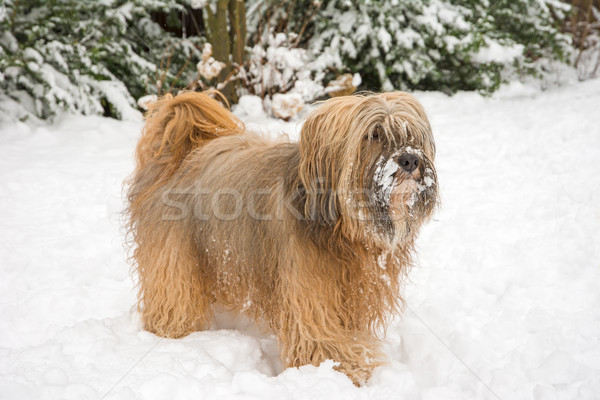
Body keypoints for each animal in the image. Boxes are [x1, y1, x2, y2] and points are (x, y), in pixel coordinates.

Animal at [125, 90, 436, 384]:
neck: (342, 230)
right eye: (374, 134)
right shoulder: (308, 293)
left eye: (411, 134)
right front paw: (346, 368)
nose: (410, 159)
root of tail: (179, 154)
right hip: (175, 257)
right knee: (173, 297)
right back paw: (173, 332)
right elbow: (319, 336)